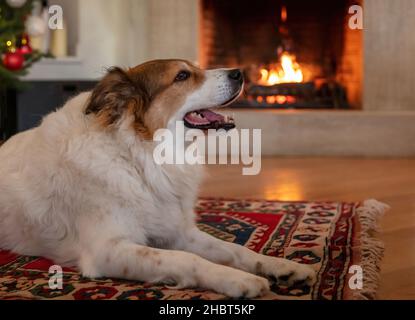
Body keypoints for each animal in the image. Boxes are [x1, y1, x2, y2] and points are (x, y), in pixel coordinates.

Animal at [0, 59, 316, 298]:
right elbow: (187, 259)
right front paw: (237, 279)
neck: (139, 157)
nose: (239, 72)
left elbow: (236, 249)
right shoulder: (107, 250)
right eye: (182, 76)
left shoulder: (178, 232)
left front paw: (279, 265)